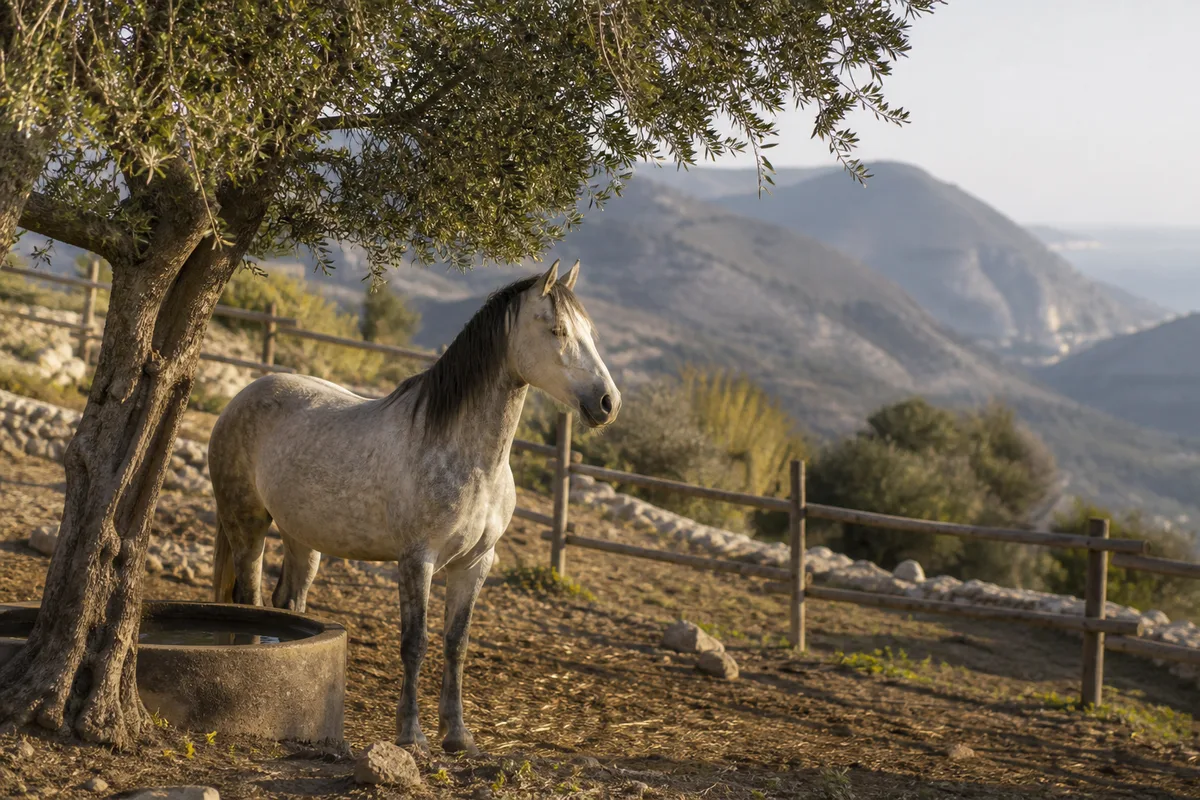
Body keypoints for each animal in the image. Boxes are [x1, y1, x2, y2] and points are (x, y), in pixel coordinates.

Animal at [208, 259, 620, 754]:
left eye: (590, 331)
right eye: (557, 330)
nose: (607, 403)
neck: (467, 457)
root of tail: (243, 395)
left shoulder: (475, 564)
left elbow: (456, 644)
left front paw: (458, 735)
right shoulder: (416, 560)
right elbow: (415, 642)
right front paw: (411, 734)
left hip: (301, 539)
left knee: (287, 602)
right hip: (247, 525)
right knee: (247, 598)